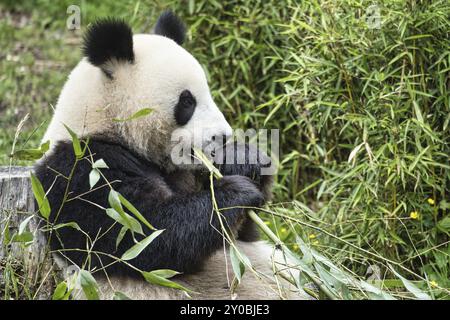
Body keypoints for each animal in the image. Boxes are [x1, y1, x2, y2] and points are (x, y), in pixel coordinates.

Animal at [35, 10, 300, 300]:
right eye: (187, 101)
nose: (222, 136)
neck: (107, 124)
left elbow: (241, 236)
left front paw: (242, 159)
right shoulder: (83, 168)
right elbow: (148, 235)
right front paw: (235, 192)